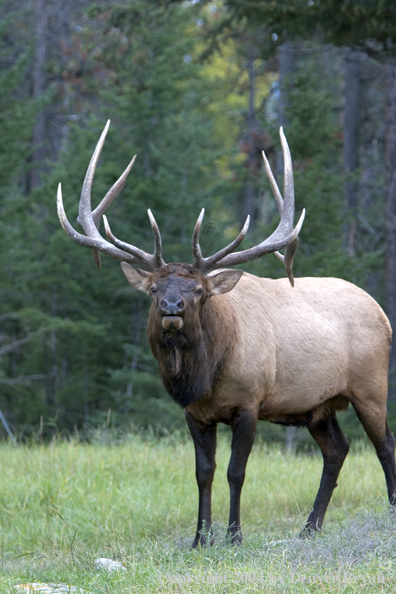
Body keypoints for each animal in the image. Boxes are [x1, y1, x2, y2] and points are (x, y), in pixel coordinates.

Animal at [57, 120, 394, 544]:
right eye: (154, 288)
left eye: (198, 290)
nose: (172, 308)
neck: (204, 377)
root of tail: (382, 313)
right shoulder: (194, 413)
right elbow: (204, 473)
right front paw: (200, 538)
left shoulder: (249, 402)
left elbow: (237, 472)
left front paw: (234, 536)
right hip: (318, 406)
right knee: (338, 450)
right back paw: (310, 527)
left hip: (370, 386)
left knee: (384, 445)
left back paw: (387, 510)